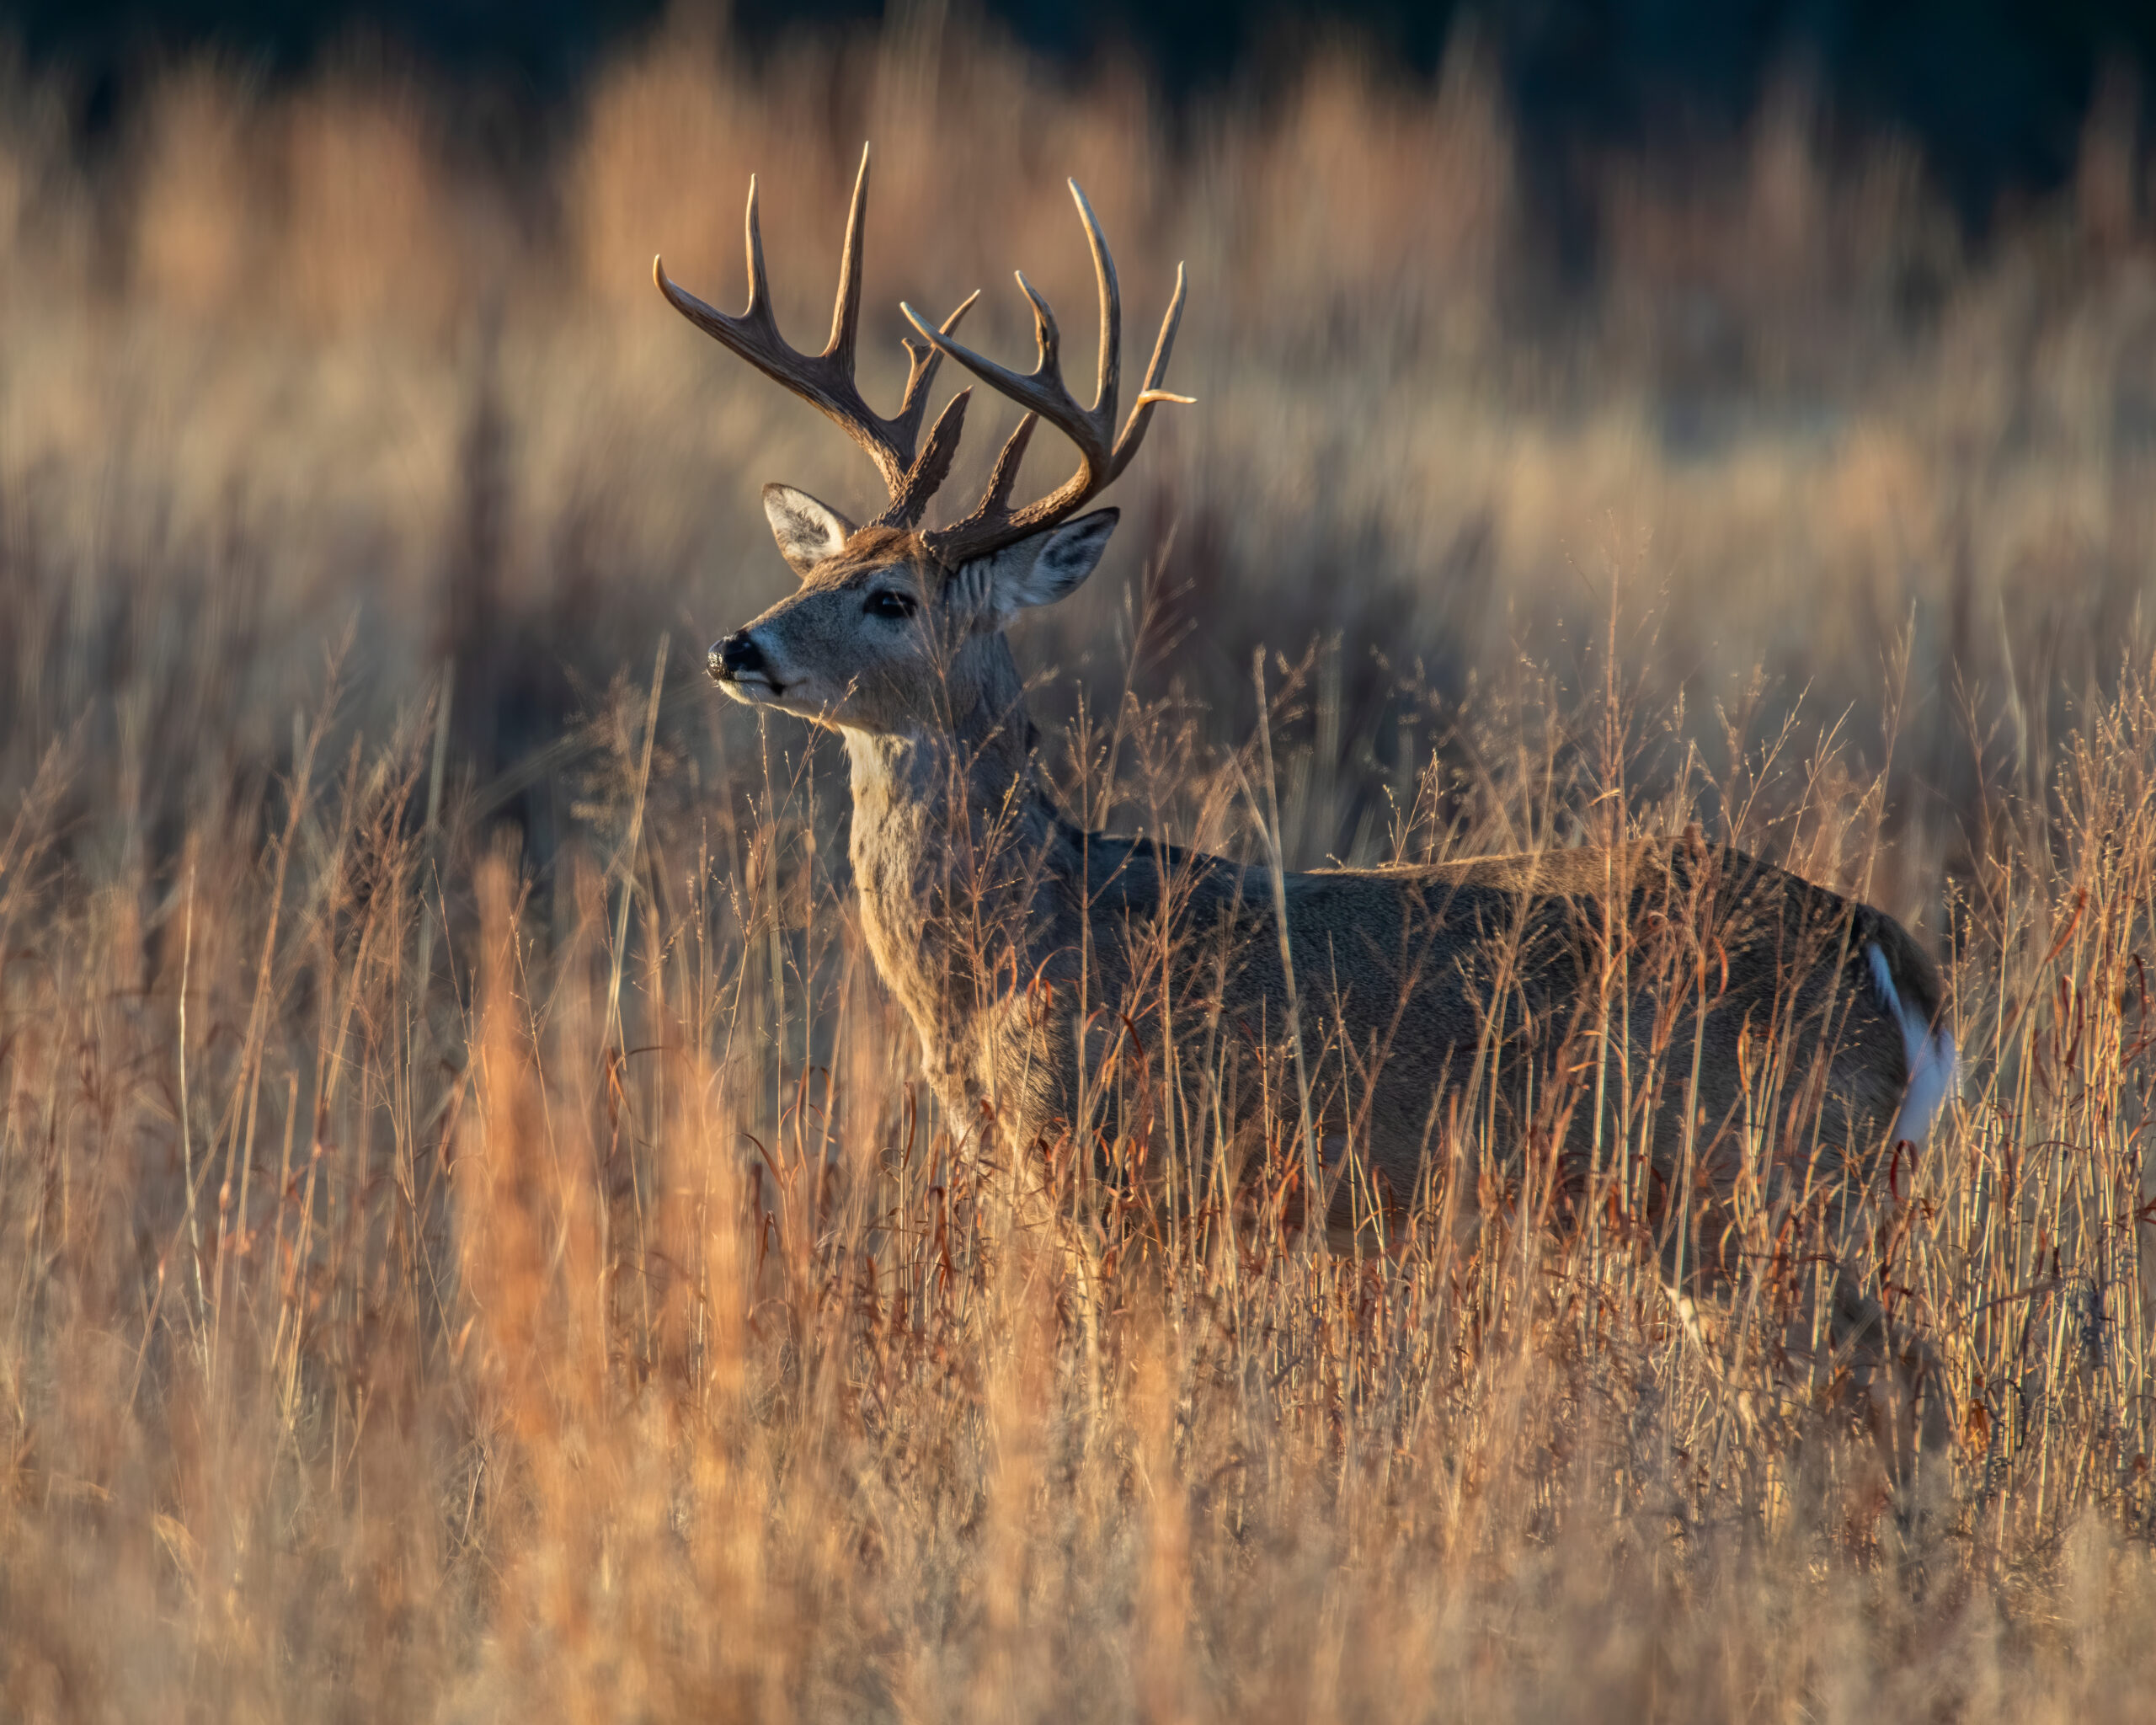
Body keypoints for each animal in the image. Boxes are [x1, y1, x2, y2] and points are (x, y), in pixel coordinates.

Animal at [655, 144, 1960, 1475]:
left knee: (1880, 1383)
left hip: (1740, 1178)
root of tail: (1892, 956)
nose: (735, 646)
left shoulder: (1124, 1182)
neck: (1018, 945)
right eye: (816, 565)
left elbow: (1120, 1404)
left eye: (892, 600)